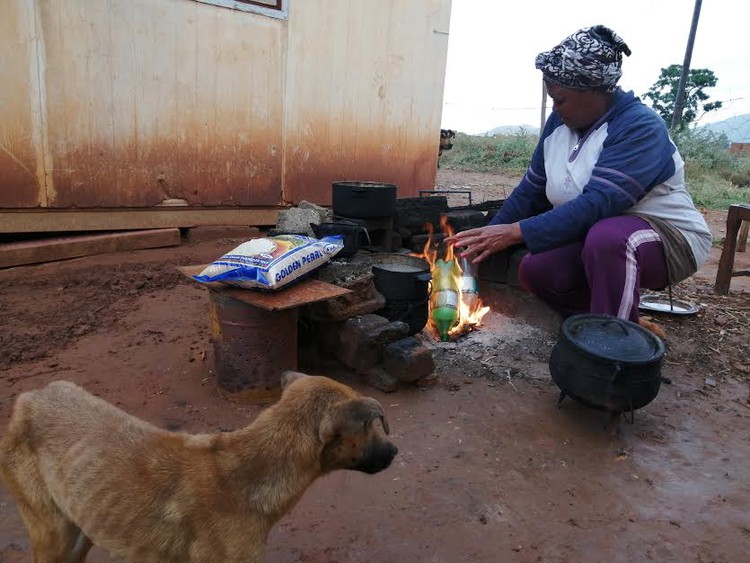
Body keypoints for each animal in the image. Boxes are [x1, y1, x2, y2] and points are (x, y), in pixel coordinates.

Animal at [0, 372, 400, 560]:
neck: (248, 476)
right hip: (53, 536)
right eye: (373, 426)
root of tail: (31, 397)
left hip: (79, 532)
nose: (396, 451)